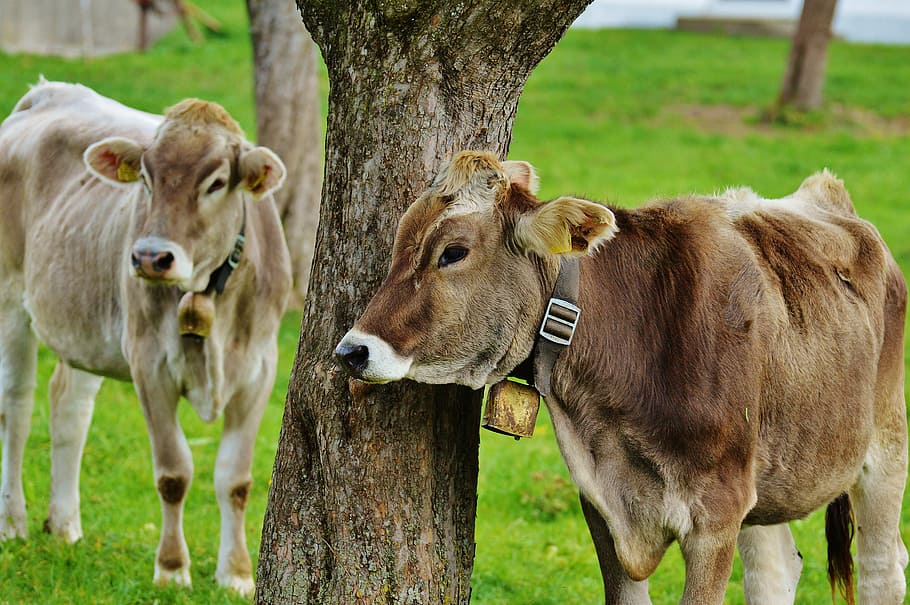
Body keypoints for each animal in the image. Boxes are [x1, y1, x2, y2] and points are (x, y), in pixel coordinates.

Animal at [0, 81, 292, 596]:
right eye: (146, 179)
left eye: (216, 182)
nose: (151, 257)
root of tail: (46, 92)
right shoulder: (149, 364)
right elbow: (174, 472)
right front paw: (172, 569)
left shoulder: (259, 369)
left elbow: (235, 479)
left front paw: (236, 574)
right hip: (11, 301)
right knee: (15, 406)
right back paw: (13, 521)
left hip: (84, 324)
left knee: (69, 407)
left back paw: (66, 526)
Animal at [338, 151, 908, 604]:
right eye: (399, 243)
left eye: (453, 252)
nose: (351, 350)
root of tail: (828, 194)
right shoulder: (604, 506)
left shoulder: (716, 514)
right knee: (775, 572)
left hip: (884, 444)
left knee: (882, 568)